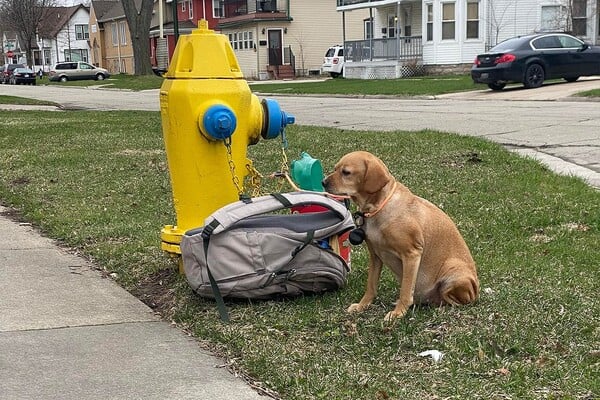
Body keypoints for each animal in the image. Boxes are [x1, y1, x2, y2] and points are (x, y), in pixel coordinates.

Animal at [322, 151, 480, 322]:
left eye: (346, 172)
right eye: (335, 168)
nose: (323, 182)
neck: (378, 208)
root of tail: (476, 290)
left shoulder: (412, 254)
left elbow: (405, 290)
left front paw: (398, 313)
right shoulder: (375, 256)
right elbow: (371, 286)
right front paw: (362, 305)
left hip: (453, 271)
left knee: (456, 300)